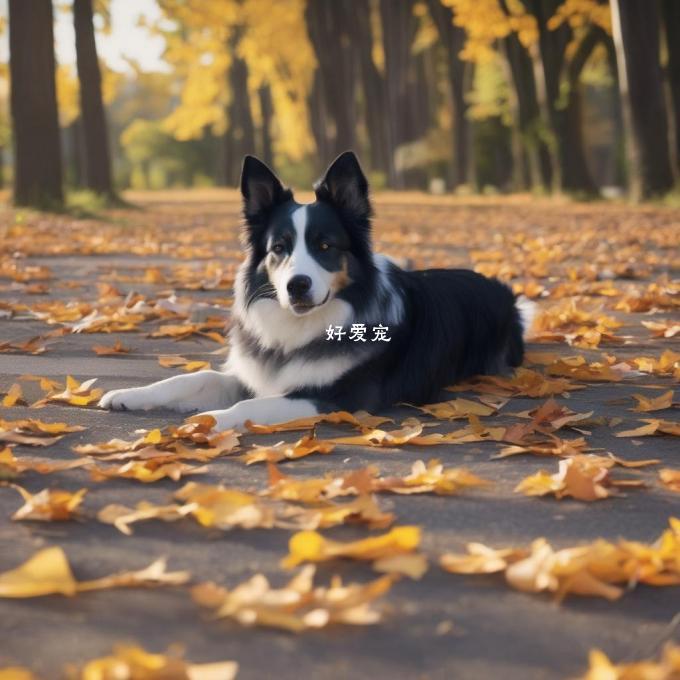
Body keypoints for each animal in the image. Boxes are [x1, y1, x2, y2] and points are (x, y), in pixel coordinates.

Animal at [98, 153, 532, 430]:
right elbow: (191, 379)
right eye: (279, 248)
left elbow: (254, 404)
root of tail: (503, 291)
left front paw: (210, 420)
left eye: (325, 246)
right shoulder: (253, 372)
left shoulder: (338, 398)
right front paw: (127, 394)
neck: (304, 326)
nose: (297, 285)